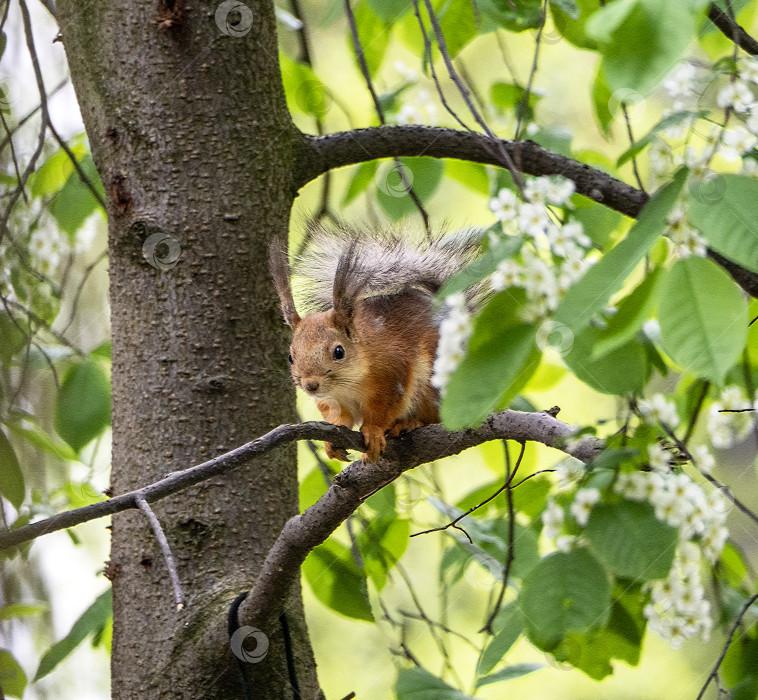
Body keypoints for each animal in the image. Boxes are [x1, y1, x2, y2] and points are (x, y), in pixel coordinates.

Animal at [268, 224, 480, 462]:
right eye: (290, 356)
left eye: (339, 351)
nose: (310, 385)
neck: (348, 383)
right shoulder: (333, 400)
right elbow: (341, 418)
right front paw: (331, 443)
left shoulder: (391, 374)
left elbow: (382, 412)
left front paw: (373, 431)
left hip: (433, 384)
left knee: (435, 417)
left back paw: (409, 423)